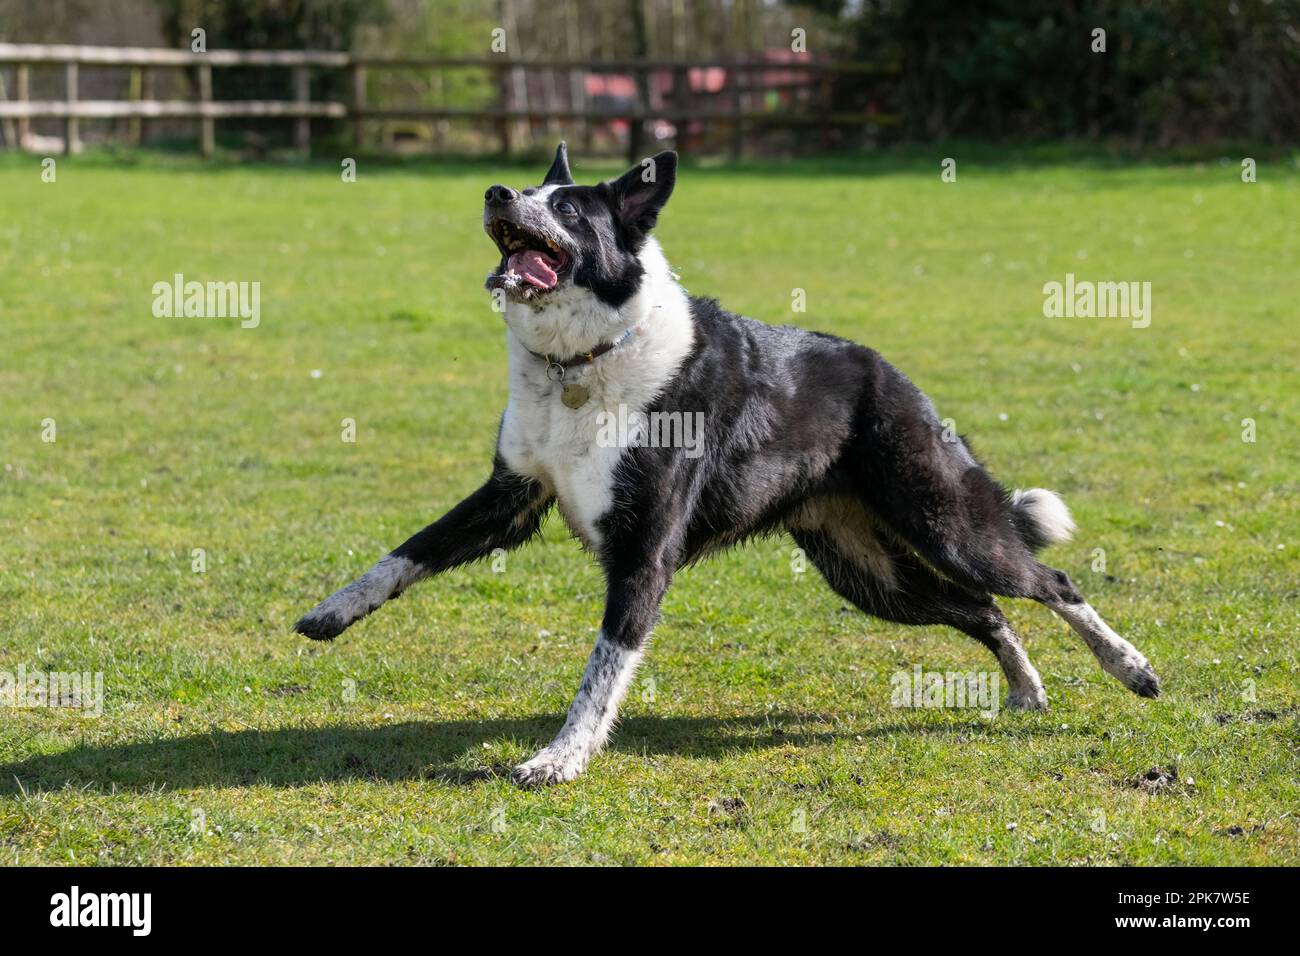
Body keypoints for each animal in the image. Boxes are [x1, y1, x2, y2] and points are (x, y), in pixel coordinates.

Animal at [295, 141, 1159, 785]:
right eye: (533, 188)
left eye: (568, 208)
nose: (498, 191)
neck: (582, 363)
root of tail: (896, 378)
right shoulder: (510, 497)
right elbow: (406, 554)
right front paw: (332, 612)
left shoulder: (644, 552)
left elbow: (601, 671)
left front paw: (561, 758)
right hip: (868, 572)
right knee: (985, 610)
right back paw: (1027, 690)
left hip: (946, 522)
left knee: (1049, 582)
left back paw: (1131, 668)